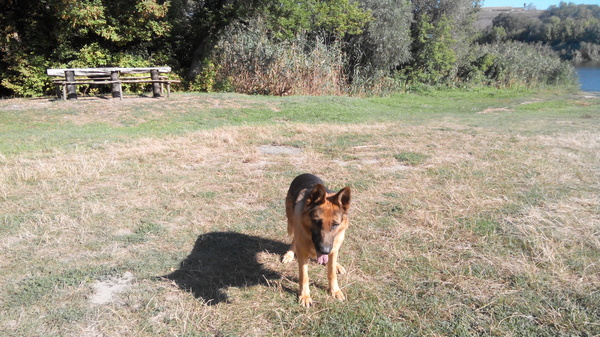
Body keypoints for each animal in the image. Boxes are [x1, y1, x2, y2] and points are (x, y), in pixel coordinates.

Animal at [282, 173, 352, 308]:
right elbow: (304, 276)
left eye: (335, 225)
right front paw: (304, 296)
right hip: (292, 223)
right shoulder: (303, 252)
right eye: (317, 222)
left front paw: (335, 290)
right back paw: (289, 254)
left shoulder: (333, 248)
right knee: (294, 240)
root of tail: (304, 174)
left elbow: (331, 273)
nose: (324, 251)